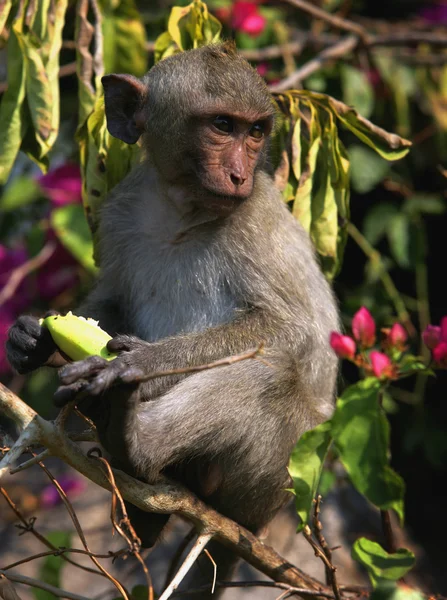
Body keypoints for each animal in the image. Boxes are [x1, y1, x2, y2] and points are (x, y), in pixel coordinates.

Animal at [5, 41, 340, 596]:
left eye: (255, 132)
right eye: (222, 125)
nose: (240, 175)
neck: (182, 210)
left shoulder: (255, 219)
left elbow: (289, 332)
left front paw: (138, 364)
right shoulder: (120, 208)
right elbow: (112, 297)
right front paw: (35, 340)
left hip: (279, 475)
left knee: (271, 375)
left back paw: (133, 442)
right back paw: (140, 504)